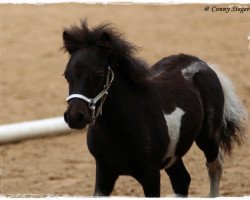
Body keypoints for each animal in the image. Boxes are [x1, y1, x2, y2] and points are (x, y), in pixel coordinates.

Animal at [62, 20, 246, 197]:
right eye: (66, 75)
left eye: (98, 75)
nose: (75, 117)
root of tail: (205, 65)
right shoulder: (104, 172)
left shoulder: (150, 174)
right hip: (173, 154)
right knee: (182, 179)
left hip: (208, 137)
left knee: (215, 165)